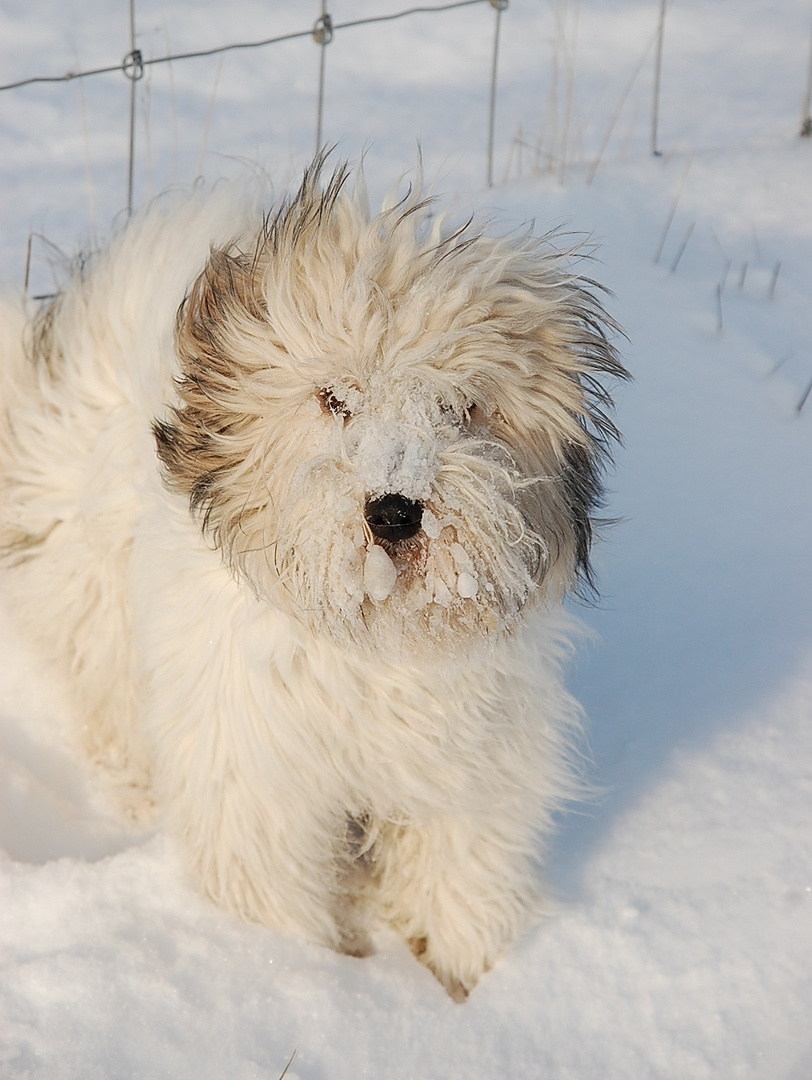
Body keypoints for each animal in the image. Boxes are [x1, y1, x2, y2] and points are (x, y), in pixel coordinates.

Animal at [0, 157, 626, 993]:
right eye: (335, 399)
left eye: (461, 407)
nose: (395, 511)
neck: (370, 644)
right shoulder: (256, 771)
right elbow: (269, 885)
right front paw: (311, 974)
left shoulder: (467, 771)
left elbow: (460, 872)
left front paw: (463, 978)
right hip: (88, 574)